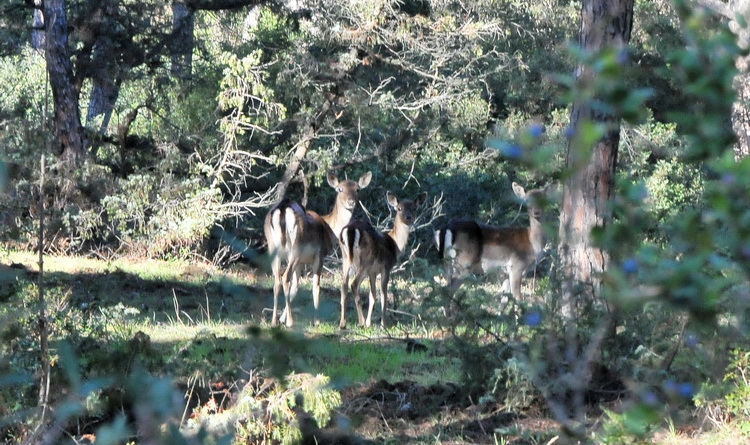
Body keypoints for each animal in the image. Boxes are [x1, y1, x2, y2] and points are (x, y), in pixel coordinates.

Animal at [264, 170, 374, 326]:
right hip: (296, 246)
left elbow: (295, 287)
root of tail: (283, 208)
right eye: (340, 189)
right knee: (285, 278)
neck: (330, 229)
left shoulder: (302, 262)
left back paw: (274, 321)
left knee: (277, 281)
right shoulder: (320, 254)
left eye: (357, 189)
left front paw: (282, 318)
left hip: (273, 247)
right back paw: (291, 322)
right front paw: (316, 320)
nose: (351, 202)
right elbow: (316, 286)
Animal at [340, 189, 428, 328]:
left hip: (345, 258)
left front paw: (370, 323)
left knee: (343, 285)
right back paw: (361, 321)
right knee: (353, 284)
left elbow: (372, 296)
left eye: (414, 208)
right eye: (399, 208)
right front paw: (383, 324)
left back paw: (343, 323)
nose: (408, 217)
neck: (395, 244)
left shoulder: (373, 272)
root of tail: (350, 229)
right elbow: (383, 295)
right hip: (365, 261)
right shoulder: (386, 267)